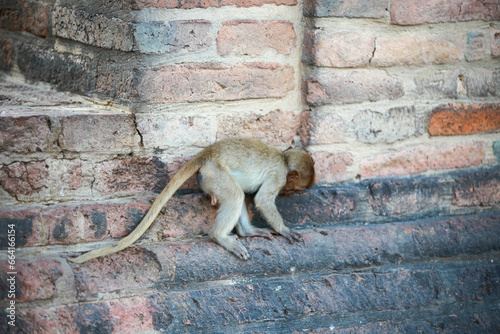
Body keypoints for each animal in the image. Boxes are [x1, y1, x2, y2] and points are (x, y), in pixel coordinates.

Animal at [68, 136, 314, 264]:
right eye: (294, 188)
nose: (288, 194)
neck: (284, 159)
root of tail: (207, 154)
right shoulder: (278, 175)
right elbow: (263, 200)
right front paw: (284, 230)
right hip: (215, 175)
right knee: (235, 195)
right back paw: (220, 237)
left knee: (239, 193)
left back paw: (247, 232)